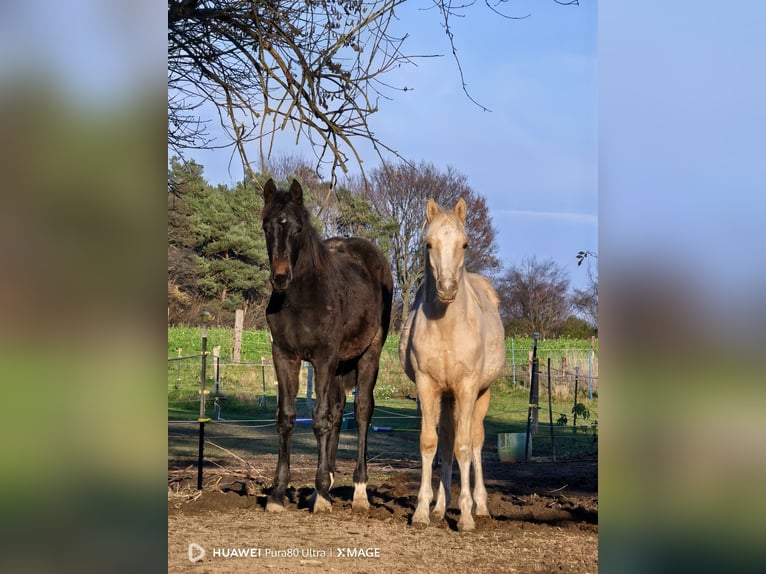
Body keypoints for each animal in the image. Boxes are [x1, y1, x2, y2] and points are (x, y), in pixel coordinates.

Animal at [261, 178, 393, 514]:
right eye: (267, 226)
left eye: (297, 228)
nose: (280, 277)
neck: (302, 299)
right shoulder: (285, 356)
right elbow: (287, 418)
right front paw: (279, 494)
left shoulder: (323, 358)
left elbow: (319, 419)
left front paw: (321, 495)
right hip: (340, 365)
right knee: (337, 409)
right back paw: (330, 480)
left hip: (368, 355)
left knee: (360, 411)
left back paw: (358, 491)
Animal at [399, 197, 505, 531]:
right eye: (428, 243)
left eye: (465, 244)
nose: (446, 288)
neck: (446, 327)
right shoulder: (427, 386)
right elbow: (430, 444)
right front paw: (423, 511)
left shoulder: (467, 387)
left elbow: (464, 447)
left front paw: (467, 516)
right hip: (447, 398)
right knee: (446, 442)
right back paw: (440, 507)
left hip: (481, 393)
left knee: (475, 442)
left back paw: (480, 505)